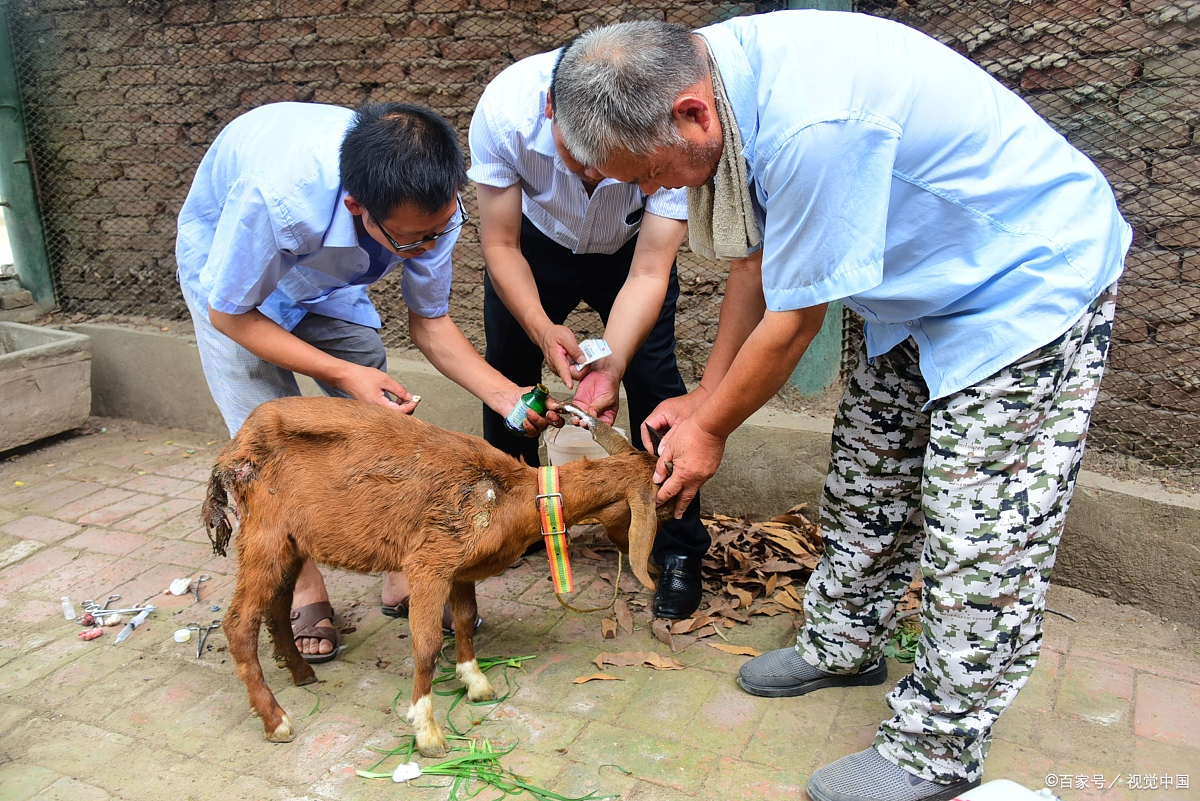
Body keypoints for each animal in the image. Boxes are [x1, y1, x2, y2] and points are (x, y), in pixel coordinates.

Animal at [198, 395, 667, 757]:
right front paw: (427, 733)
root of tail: (232, 450)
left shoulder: (460, 569)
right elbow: (424, 646)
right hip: (264, 533)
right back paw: (275, 720)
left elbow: (464, 620)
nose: (658, 568)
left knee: (276, 606)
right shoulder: (429, 562)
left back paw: (300, 672)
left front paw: (475, 683)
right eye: (659, 508)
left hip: (293, 541)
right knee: (238, 622)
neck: (510, 495)